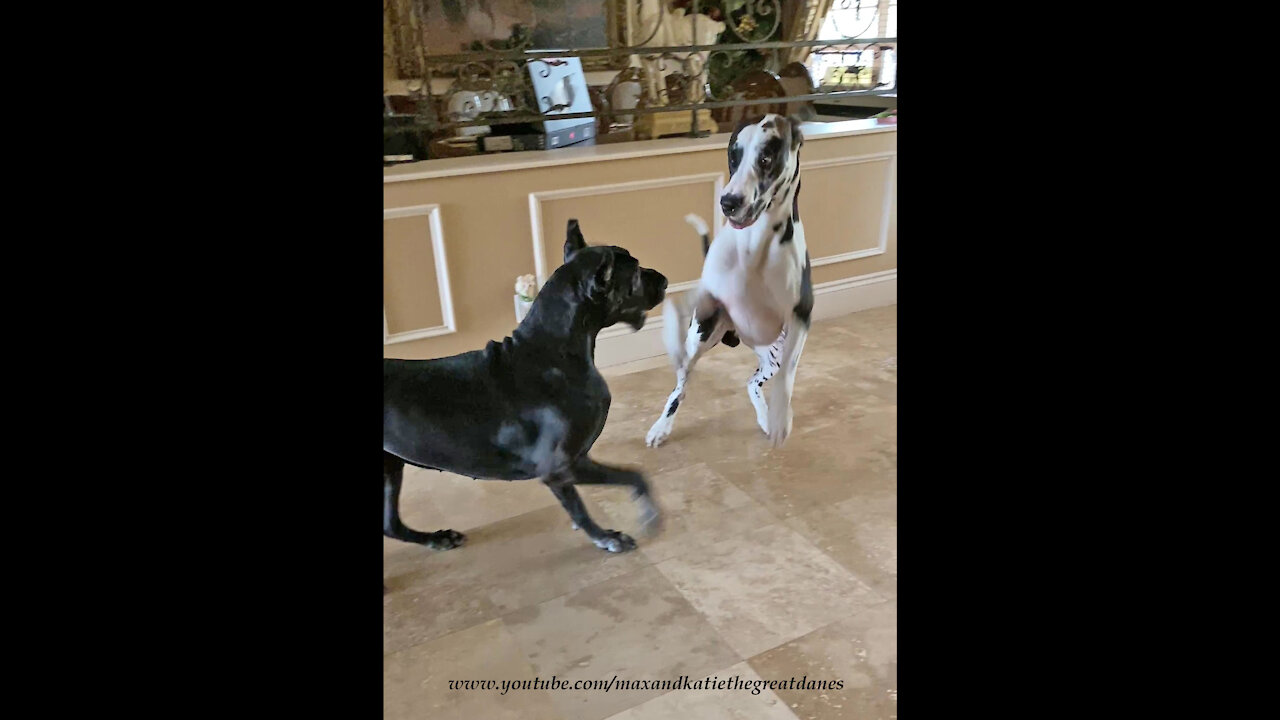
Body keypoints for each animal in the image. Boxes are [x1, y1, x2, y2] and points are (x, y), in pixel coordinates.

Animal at [381, 219, 670, 566]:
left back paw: (436, 539)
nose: (666, 280)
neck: (555, 352)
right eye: (636, 272)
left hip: (390, 467)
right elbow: (624, 482)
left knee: (390, 524)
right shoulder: (560, 467)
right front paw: (610, 535)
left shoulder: (576, 463)